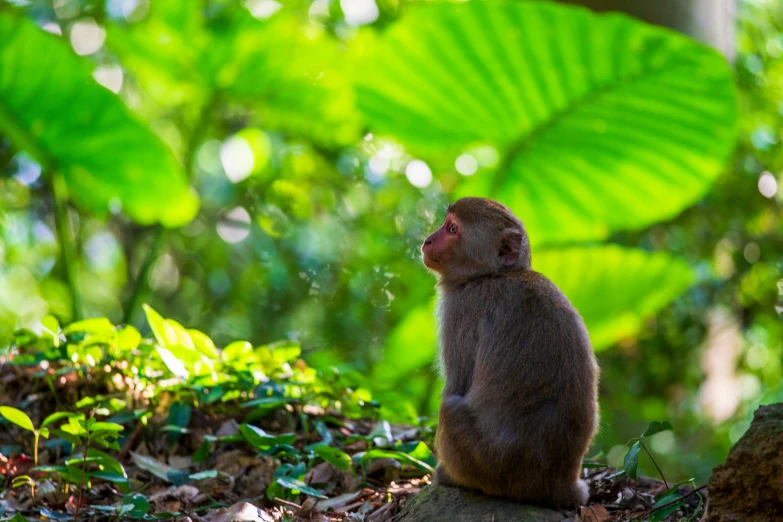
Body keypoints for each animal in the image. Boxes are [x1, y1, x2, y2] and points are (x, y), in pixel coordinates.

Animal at [422, 196, 600, 508]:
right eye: (445, 225)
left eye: (452, 228)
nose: (428, 240)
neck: (492, 274)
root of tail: (559, 486)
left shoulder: (462, 310)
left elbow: (457, 385)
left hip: (489, 469)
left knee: (451, 408)